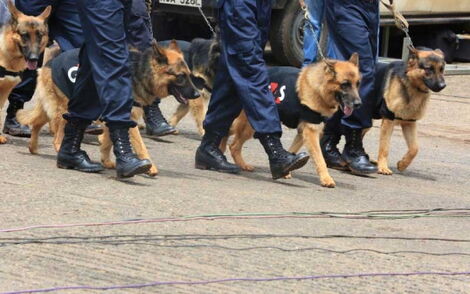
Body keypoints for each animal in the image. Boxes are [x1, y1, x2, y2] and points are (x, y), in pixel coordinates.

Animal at [17, 40, 198, 176]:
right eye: (181, 76)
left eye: (189, 75)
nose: (197, 94)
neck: (141, 71)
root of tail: (50, 61)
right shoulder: (128, 118)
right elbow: (140, 145)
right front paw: (150, 166)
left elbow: (109, 140)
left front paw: (107, 160)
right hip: (65, 108)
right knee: (58, 134)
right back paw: (63, 153)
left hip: (54, 106)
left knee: (37, 122)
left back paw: (33, 147)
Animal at [224, 54, 360, 188]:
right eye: (345, 84)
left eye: (357, 84)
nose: (359, 104)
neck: (319, 88)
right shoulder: (311, 132)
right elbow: (320, 158)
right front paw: (326, 178)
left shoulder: (302, 132)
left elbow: (292, 150)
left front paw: (286, 169)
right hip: (249, 125)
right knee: (233, 144)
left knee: (230, 139)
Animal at [374, 46, 448, 175]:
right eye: (429, 69)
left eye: (441, 69)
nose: (443, 85)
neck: (413, 86)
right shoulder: (388, 120)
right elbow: (385, 147)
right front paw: (383, 167)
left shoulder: (409, 123)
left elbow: (414, 149)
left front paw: (403, 164)